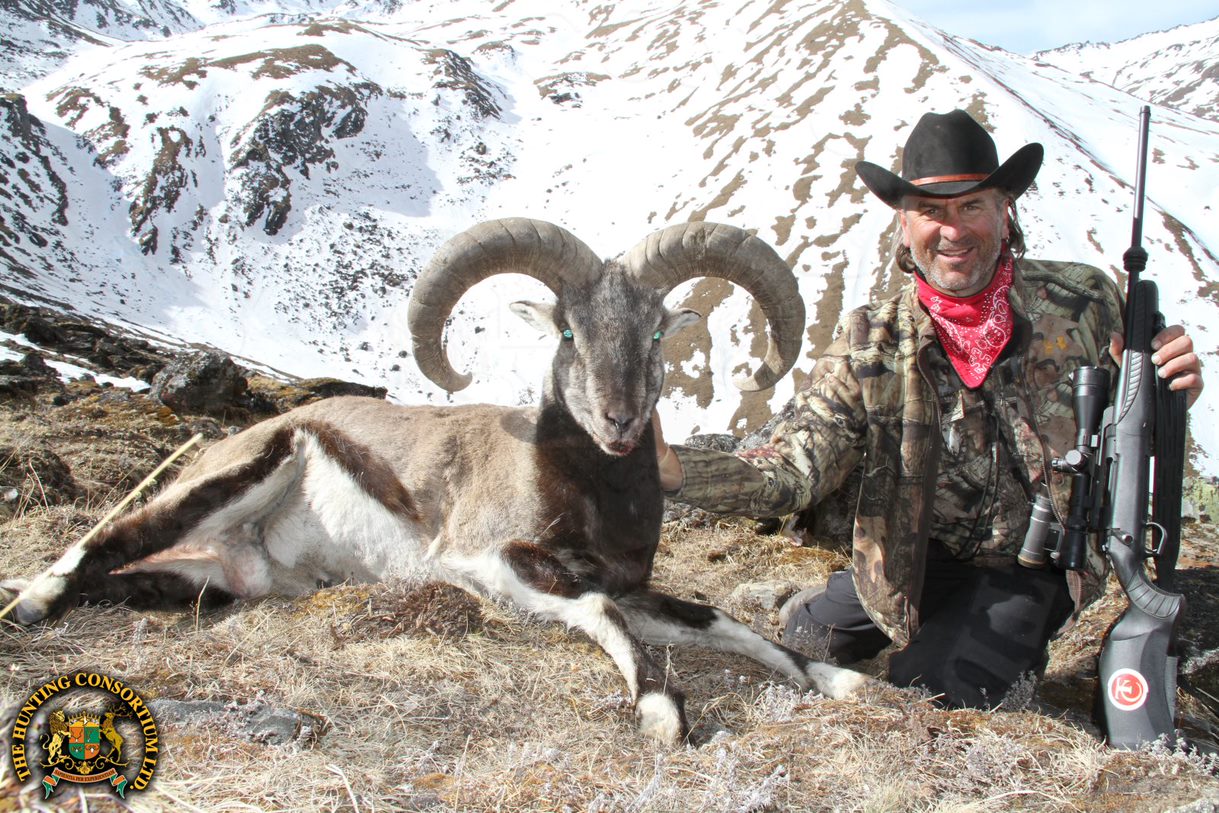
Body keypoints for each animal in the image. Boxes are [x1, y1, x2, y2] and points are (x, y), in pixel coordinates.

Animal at [1, 218, 867, 742]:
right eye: (566, 331)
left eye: (654, 332)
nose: (620, 422)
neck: (583, 491)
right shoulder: (493, 561)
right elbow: (601, 614)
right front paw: (660, 712)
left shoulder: (634, 583)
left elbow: (717, 619)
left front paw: (840, 678)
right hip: (248, 469)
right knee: (111, 537)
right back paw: (34, 602)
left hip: (216, 582)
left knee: (136, 575)